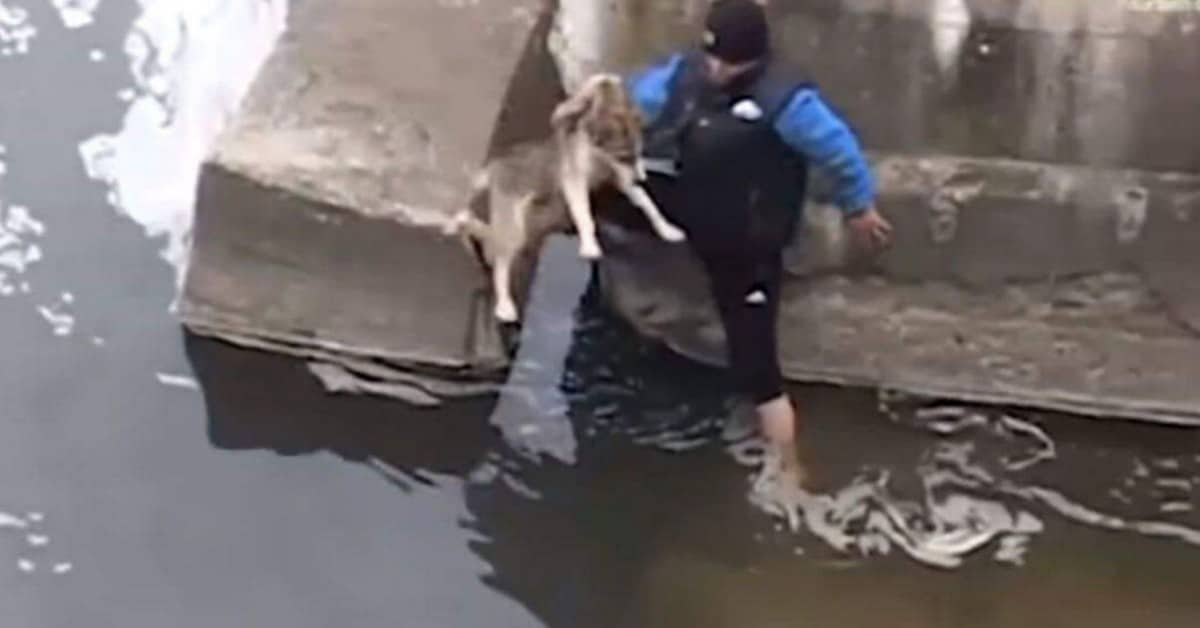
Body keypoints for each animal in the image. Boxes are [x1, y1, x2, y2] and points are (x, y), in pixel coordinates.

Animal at [441, 73, 686, 324]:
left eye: (637, 154)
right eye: (623, 156)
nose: (641, 178)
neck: (598, 154)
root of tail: (495, 166)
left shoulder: (621, 181)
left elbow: (648, 204)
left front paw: (667, 229)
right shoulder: (575, 181)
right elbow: (584, 214)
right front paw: (589, 244)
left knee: (482, 232)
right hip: (514, 226)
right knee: (500, 262)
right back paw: (504, 305)